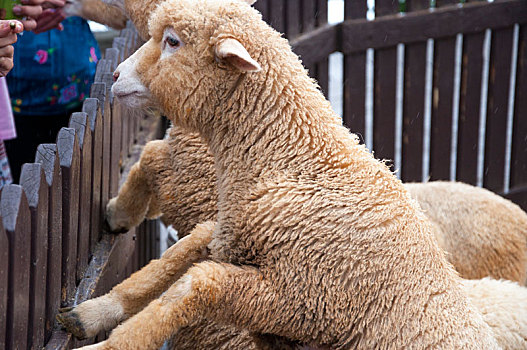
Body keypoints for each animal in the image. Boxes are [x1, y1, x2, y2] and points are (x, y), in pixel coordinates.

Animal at [67, 1, 504, 348]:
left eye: (172, 41)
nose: (116, 77)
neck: (294, 159)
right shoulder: (233, 241)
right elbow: (175, 259)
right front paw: (92, 312)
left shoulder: (303, 300)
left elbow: (196, 285)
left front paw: (104, 346)